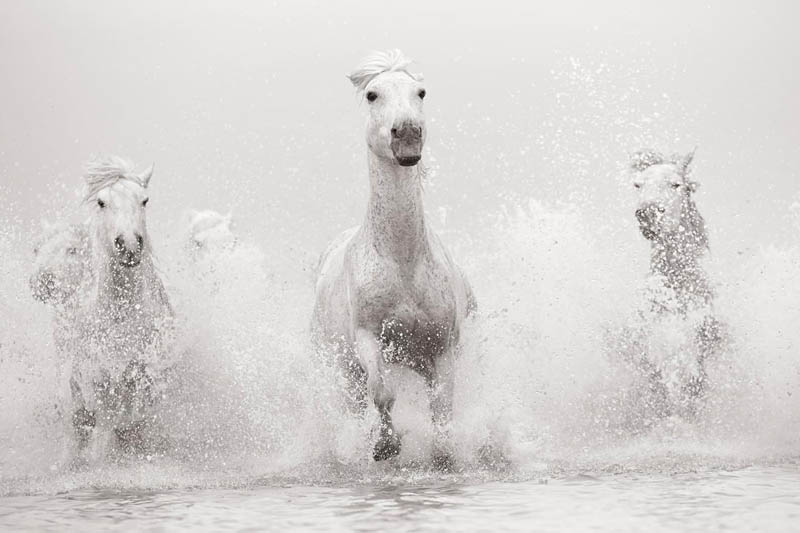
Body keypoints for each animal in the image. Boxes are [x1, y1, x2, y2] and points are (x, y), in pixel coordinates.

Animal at [69, 156, 174, 457]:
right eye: (101, 202)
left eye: (145, 200)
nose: (128, 245)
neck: (121, 314)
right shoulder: (97, 378)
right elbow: (106, 425)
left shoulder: (145, 375)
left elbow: (135, 420)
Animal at [311, 50, 476, 467]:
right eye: (372, 94)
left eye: (421, 92)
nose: (407, 134)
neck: (403, 262)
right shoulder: (368, 338)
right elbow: (382, 392)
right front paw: (386, 445)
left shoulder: (442, 348)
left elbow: (442, 408)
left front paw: (442, 455)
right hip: (343, 370)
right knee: (355, 404)